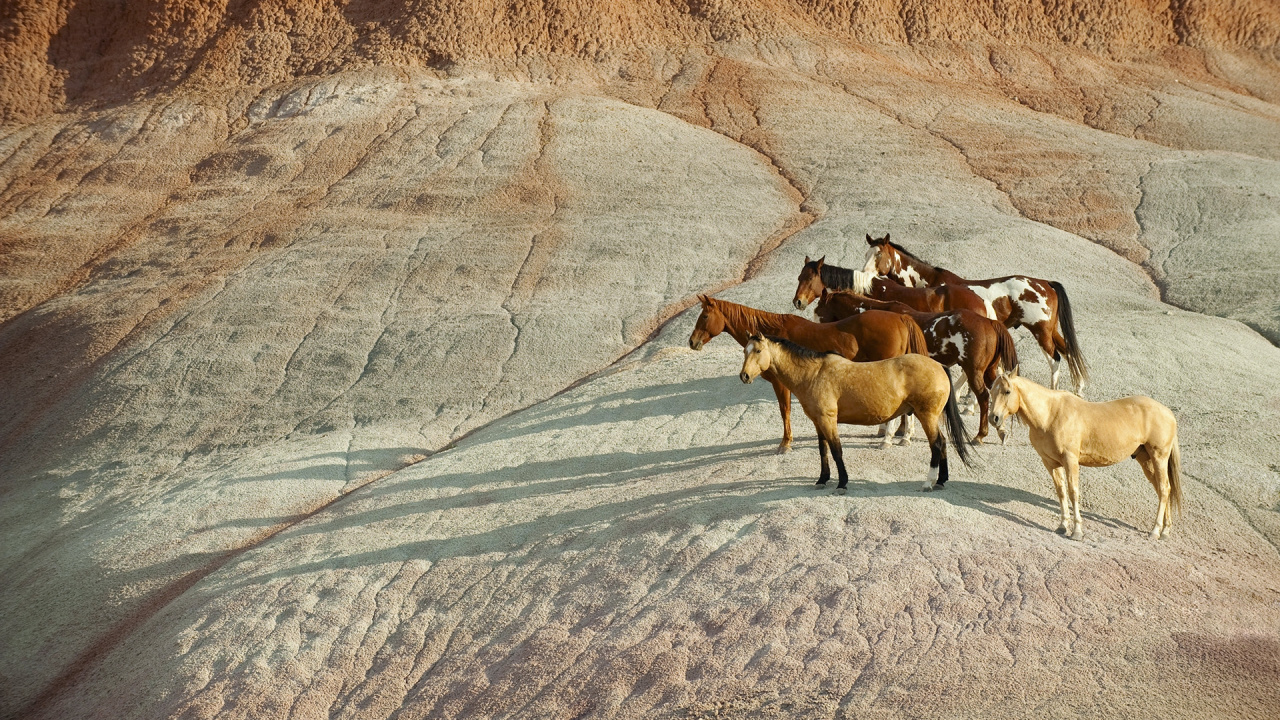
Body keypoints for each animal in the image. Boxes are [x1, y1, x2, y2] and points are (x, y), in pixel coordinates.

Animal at [688, 295, 928, 452]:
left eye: (705, 316)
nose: (692, 342)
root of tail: (900, 318)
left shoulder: (781, 384)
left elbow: (784, 410)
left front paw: (785, 443)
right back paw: (903, 436)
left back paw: (888, 439)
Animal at [739, 334, 971, 491]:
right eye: (744, 351)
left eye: (757, 351)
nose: (744, 376)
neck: (814, 374)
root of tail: (939, 366)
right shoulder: (818, 422)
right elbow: (823, 451)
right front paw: (822, 479)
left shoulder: (828, 420)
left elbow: (836, 451)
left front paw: (842, 483)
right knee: (943, 442)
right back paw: (941, 480)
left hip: (927, 416)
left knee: (937, 444)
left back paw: (928, 482)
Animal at [815, 289, 1019, 444]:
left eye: (819, 313)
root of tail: (990, 322)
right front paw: (900, 430)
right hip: (988, 371)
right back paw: (1000, 428)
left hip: (974, 371)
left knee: (983, 396)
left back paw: (980, 434)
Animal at [861, 233, 1088, 393]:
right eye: (866, 254)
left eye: (879, 254)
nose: (864, 274)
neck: (931, 284)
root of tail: (1046, 283)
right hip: (1050, 330)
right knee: (1069, 351)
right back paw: (1079, 388)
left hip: (1041, 332)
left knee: (1055, 359)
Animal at [988, 368, 1182, 541]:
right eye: (991, 390)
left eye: (1007, 391)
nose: (993, 418)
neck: (1050, 414)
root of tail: (1168, 413)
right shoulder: (1050, 463)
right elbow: (1061, 492)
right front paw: (1062, 526)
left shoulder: (1070, 460)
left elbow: (1073, 492)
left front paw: (1077, 531)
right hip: (1146, 460)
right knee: (1164, 489)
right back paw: (1165, 531)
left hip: (1159, 457)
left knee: (1164, 489)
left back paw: (1155, 531)